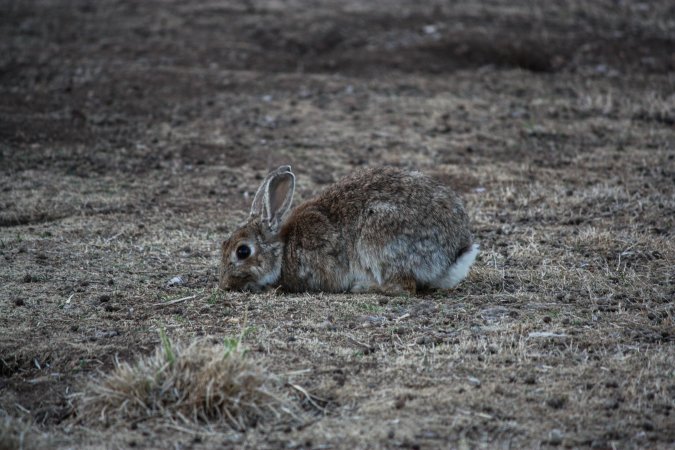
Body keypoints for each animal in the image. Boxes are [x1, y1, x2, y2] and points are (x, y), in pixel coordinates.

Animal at [219, 165, 479, 295]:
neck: (282, 249)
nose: (224, 285)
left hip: (378, 242)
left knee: (403, 287)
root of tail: (453, 255)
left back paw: (362, 287)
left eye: (243, 251)